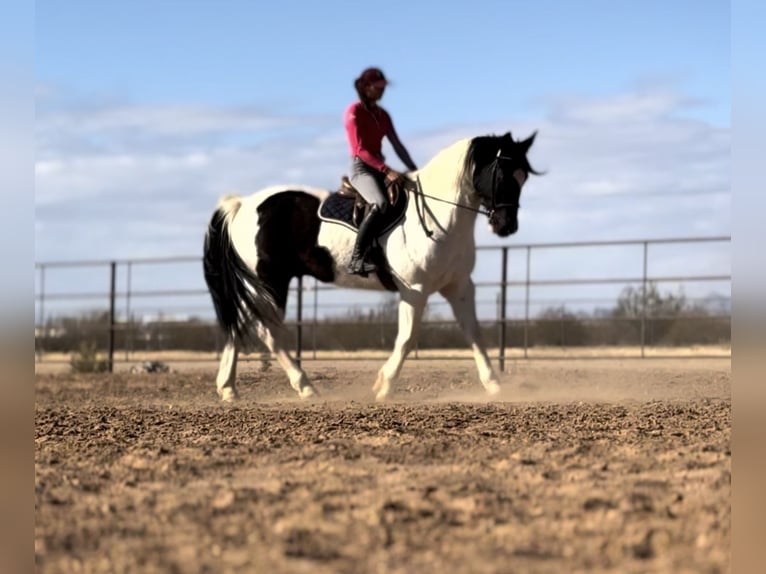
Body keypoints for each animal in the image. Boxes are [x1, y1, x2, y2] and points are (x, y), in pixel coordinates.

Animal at [201, 131, 544, 402]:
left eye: (523, 177)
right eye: (501, 174)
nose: (506, 226)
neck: (440, 216)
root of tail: (241, 205)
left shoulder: (458, 286)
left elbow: (474, 333)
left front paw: (494, 385)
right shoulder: (415, 290)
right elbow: (407, 339)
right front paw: (383, 386)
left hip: (256, 285)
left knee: (239, 324)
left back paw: (228, 389)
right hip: (271, 282)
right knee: (267, 331)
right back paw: (306, 387)